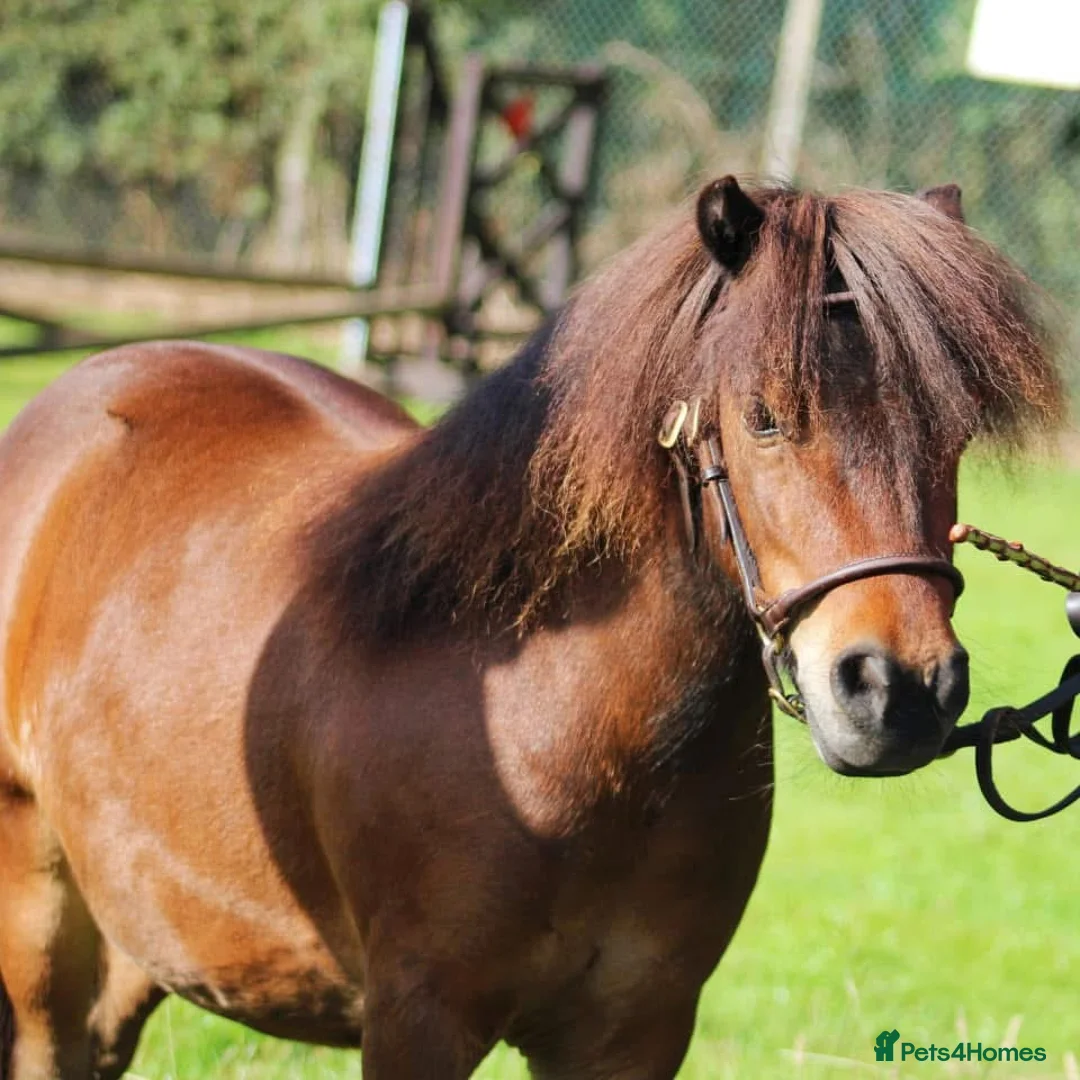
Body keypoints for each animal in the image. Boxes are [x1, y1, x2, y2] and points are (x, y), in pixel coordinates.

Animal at [0, 177, 1061, 1079]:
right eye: (765, 416)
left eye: (956, 431)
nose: (901, 694)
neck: (555, 716)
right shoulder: (419, 1021)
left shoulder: (636, 1032)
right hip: (42, 913)